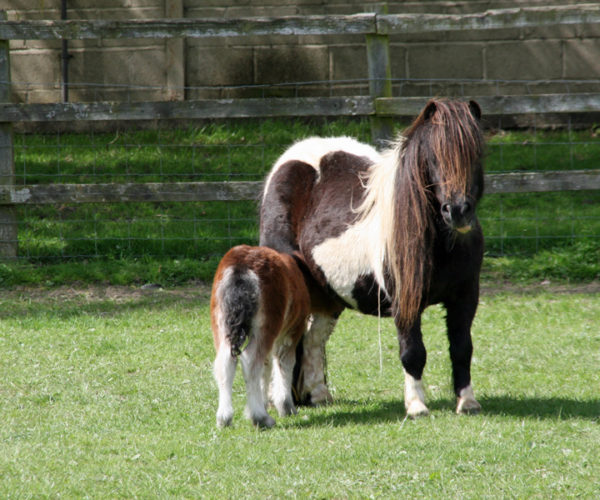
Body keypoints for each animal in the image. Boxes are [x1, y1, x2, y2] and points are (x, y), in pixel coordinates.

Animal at [211, 244, 312, 428]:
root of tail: (240, 268)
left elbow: (266, 365)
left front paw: (265, 402)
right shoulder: (292, 331)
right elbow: (285, 363)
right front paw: (286, 407)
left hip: (221, 323)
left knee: (225, 362)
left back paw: (224, 418)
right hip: (266, 326)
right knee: (251, 361)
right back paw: (260, 418)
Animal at [260, 98, 486, 418]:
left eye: (476, 153)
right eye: (432, 157)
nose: (457, 211)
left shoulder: (466, 297)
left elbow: (462, 348)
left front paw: (467, 401)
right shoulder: (404, 301)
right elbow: (413, 352)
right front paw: (416, 405)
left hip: (328, 296)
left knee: (314, 339)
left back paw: (319, 395)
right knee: (281, 344)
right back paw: (276, 401)